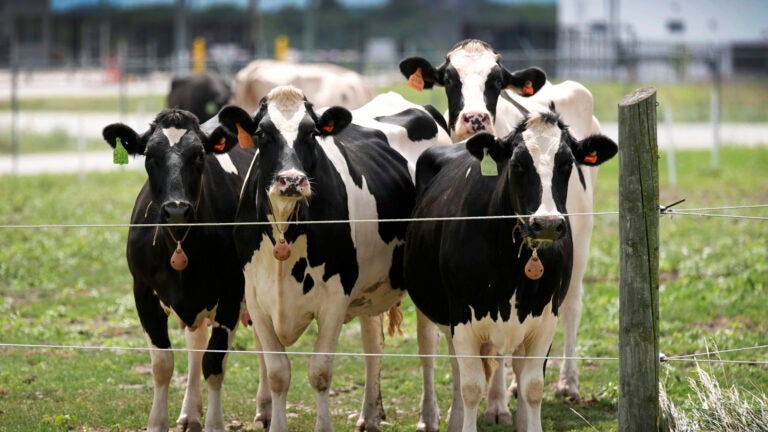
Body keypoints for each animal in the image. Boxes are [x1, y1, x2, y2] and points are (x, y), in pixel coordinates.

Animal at [102, 109, 255, 432]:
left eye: (198, 155)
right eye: (150, 155)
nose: (176, 210)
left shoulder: (231, 294)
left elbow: (215, 363)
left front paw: (214, 425)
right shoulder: (143, 292)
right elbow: (163, 364)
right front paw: (158, 423)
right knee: (195, 346)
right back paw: (189, 414)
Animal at [213, 85, 452, 432]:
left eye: (311, 133)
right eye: (261, 133)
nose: (291, 180)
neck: (285, 230)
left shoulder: (335, 298)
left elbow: (320, 372)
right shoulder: (256, 299)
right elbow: (277, 373)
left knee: (427, 348)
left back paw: (429, 417)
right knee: (373, 346)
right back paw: (369, 416)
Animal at [402, 38, 612, 408]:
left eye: (496, 81)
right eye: (449, 79)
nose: (475, 118)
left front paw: (497, 403)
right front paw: (499, 396)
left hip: (583, 235)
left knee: (572, 305)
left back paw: (568, 382)